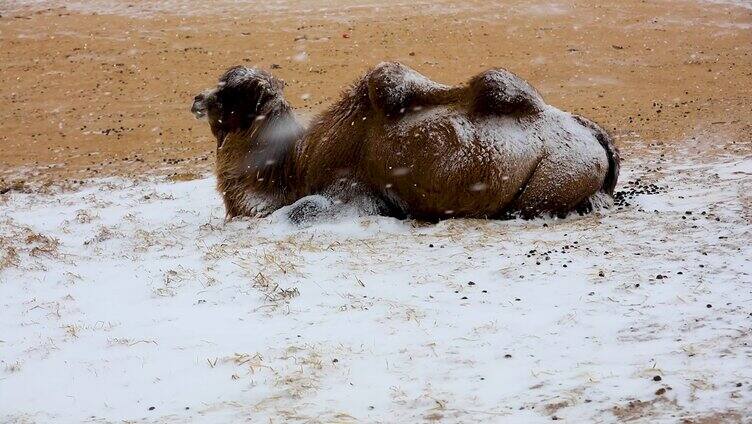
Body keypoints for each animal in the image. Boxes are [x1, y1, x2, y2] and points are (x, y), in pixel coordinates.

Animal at [191, 63, 620, 222]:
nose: (196, 99)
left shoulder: (351, 193)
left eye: (231, 95)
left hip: (551, 179)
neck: (291, 167)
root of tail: (597, 139)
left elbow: (302, 211)